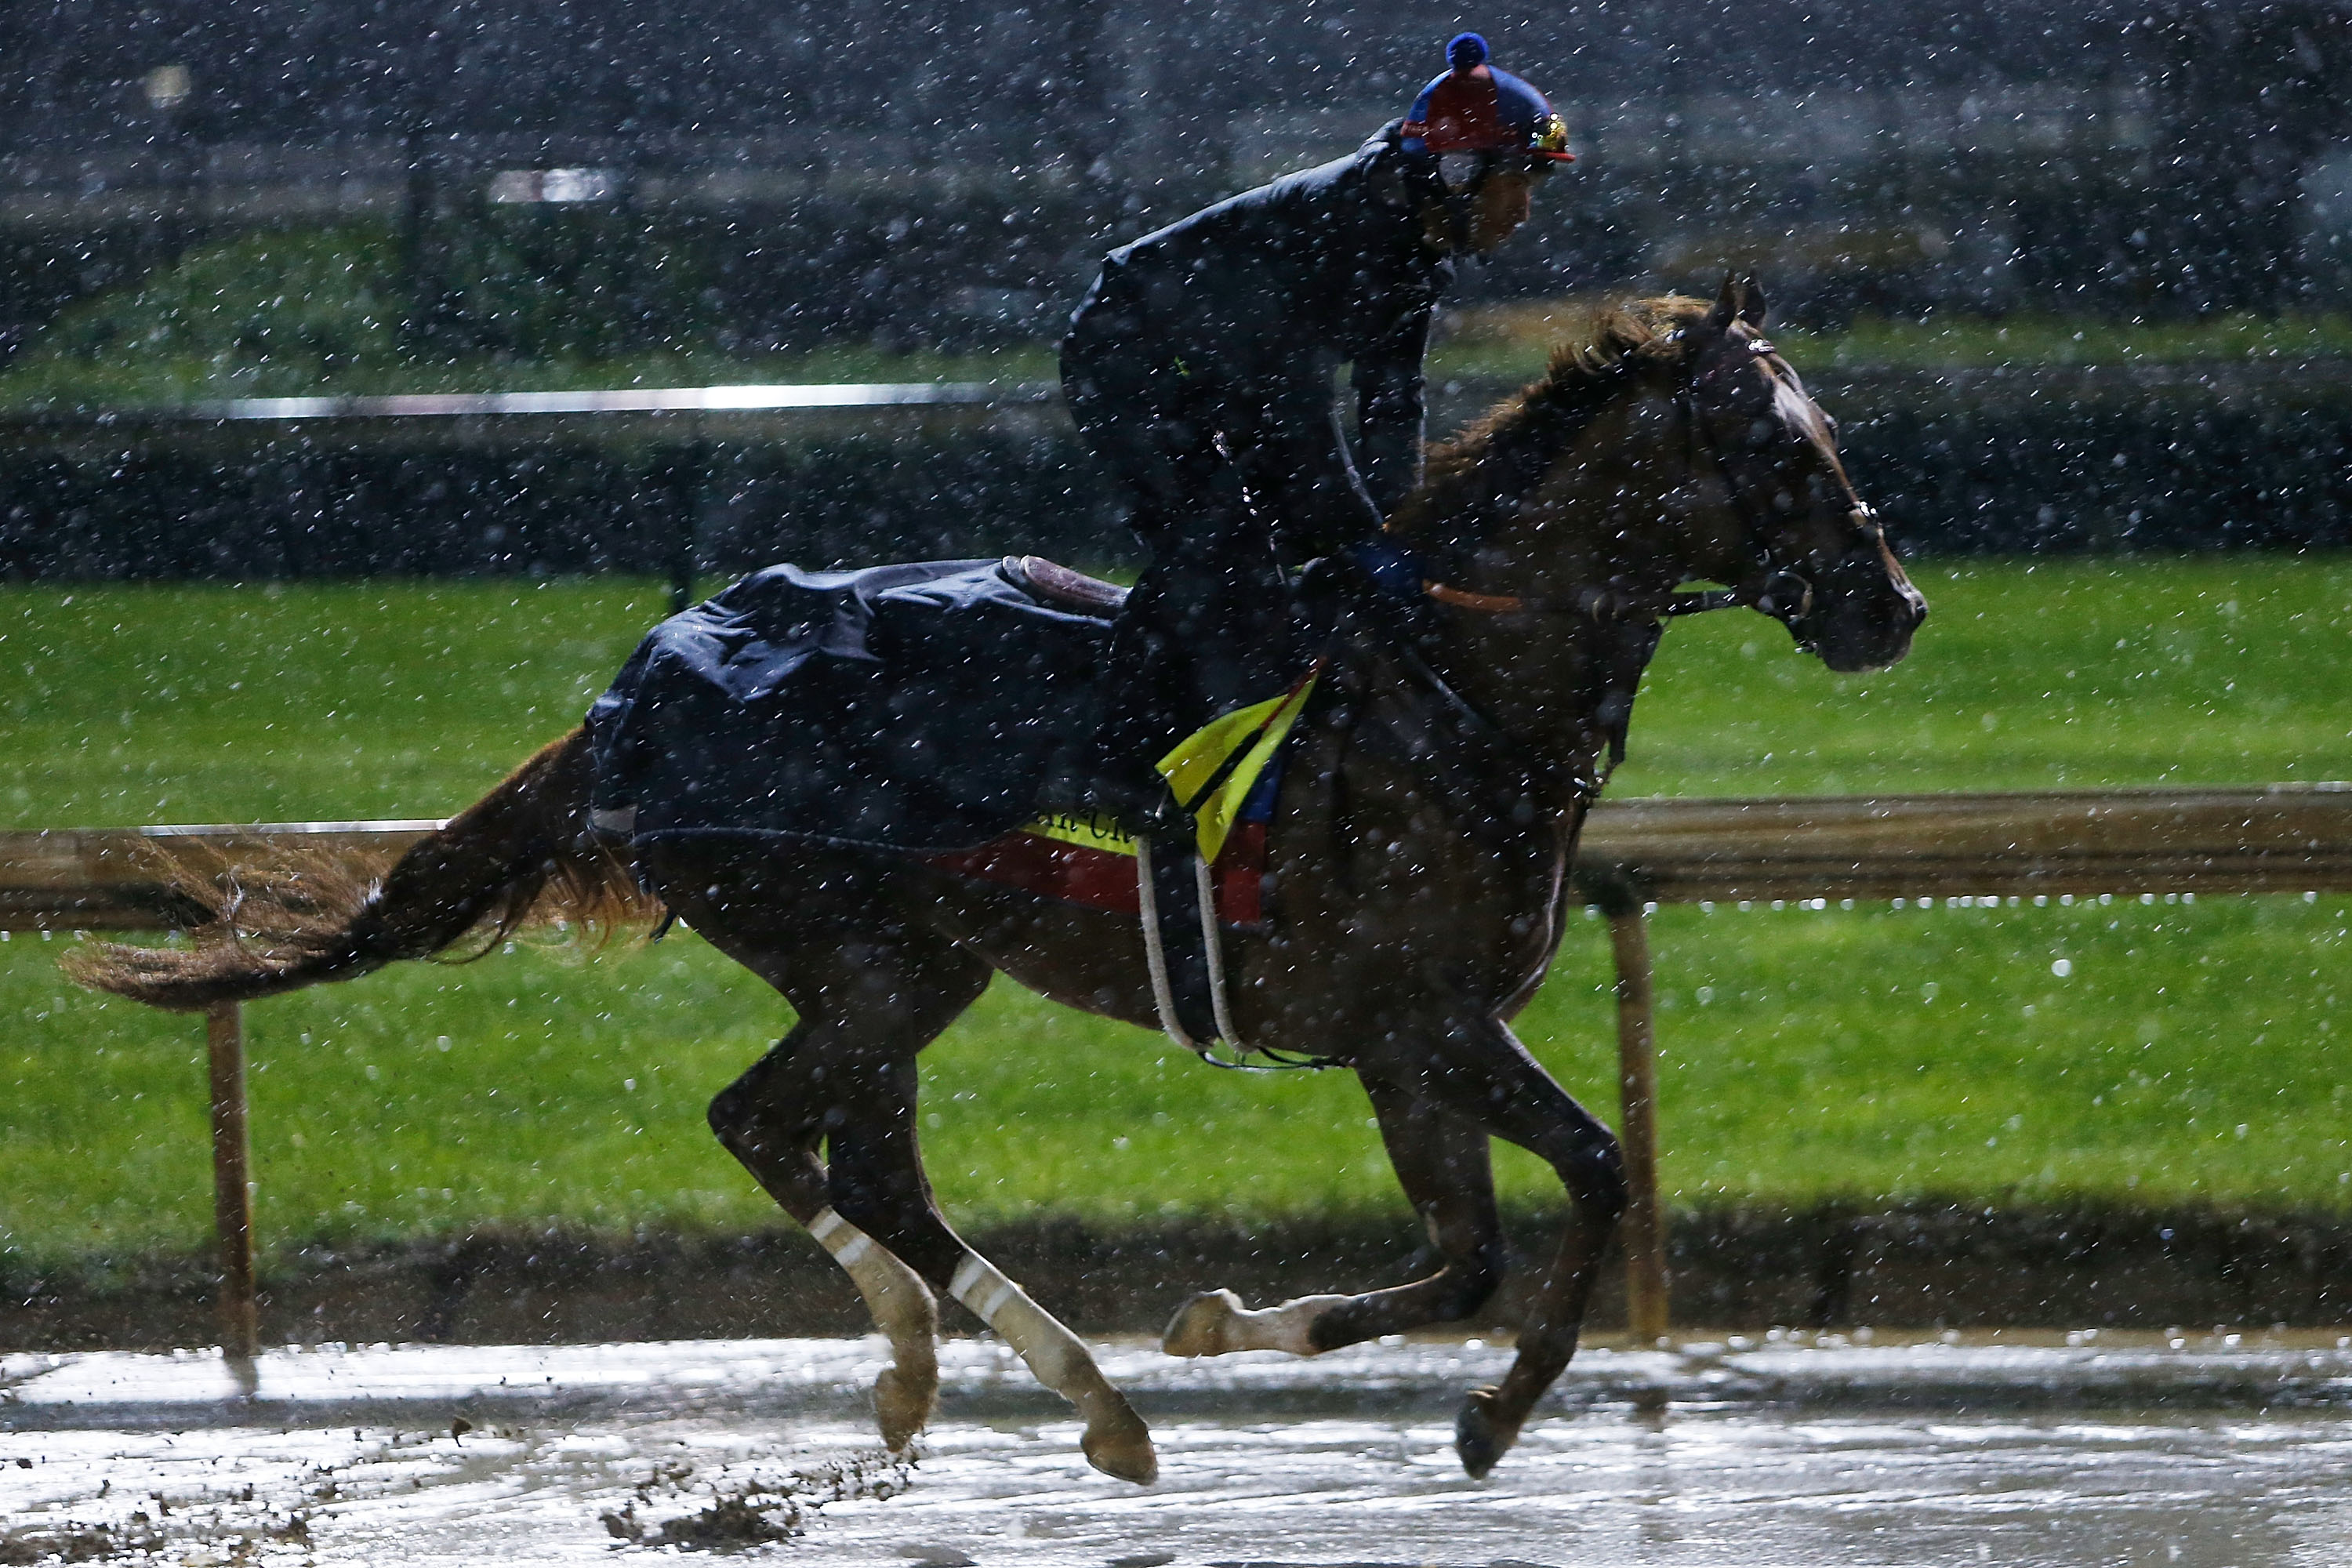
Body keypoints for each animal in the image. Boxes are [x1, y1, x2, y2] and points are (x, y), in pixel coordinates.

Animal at [68, 278, 1929, 1486]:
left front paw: (1266, 1341)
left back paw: (1063, 1392)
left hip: (904, 968)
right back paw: (964, 1367)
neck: (1452, 691)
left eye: (1835, 430)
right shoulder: (1427, 1017)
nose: (1891, 607)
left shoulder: (1407, 1043)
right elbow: (1597, 1172)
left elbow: (1474, 1248)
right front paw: (1466, 1408)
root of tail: (625, 705)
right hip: (871, 955)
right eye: (1779, 452)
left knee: (863, 1158)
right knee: (778, 1129)